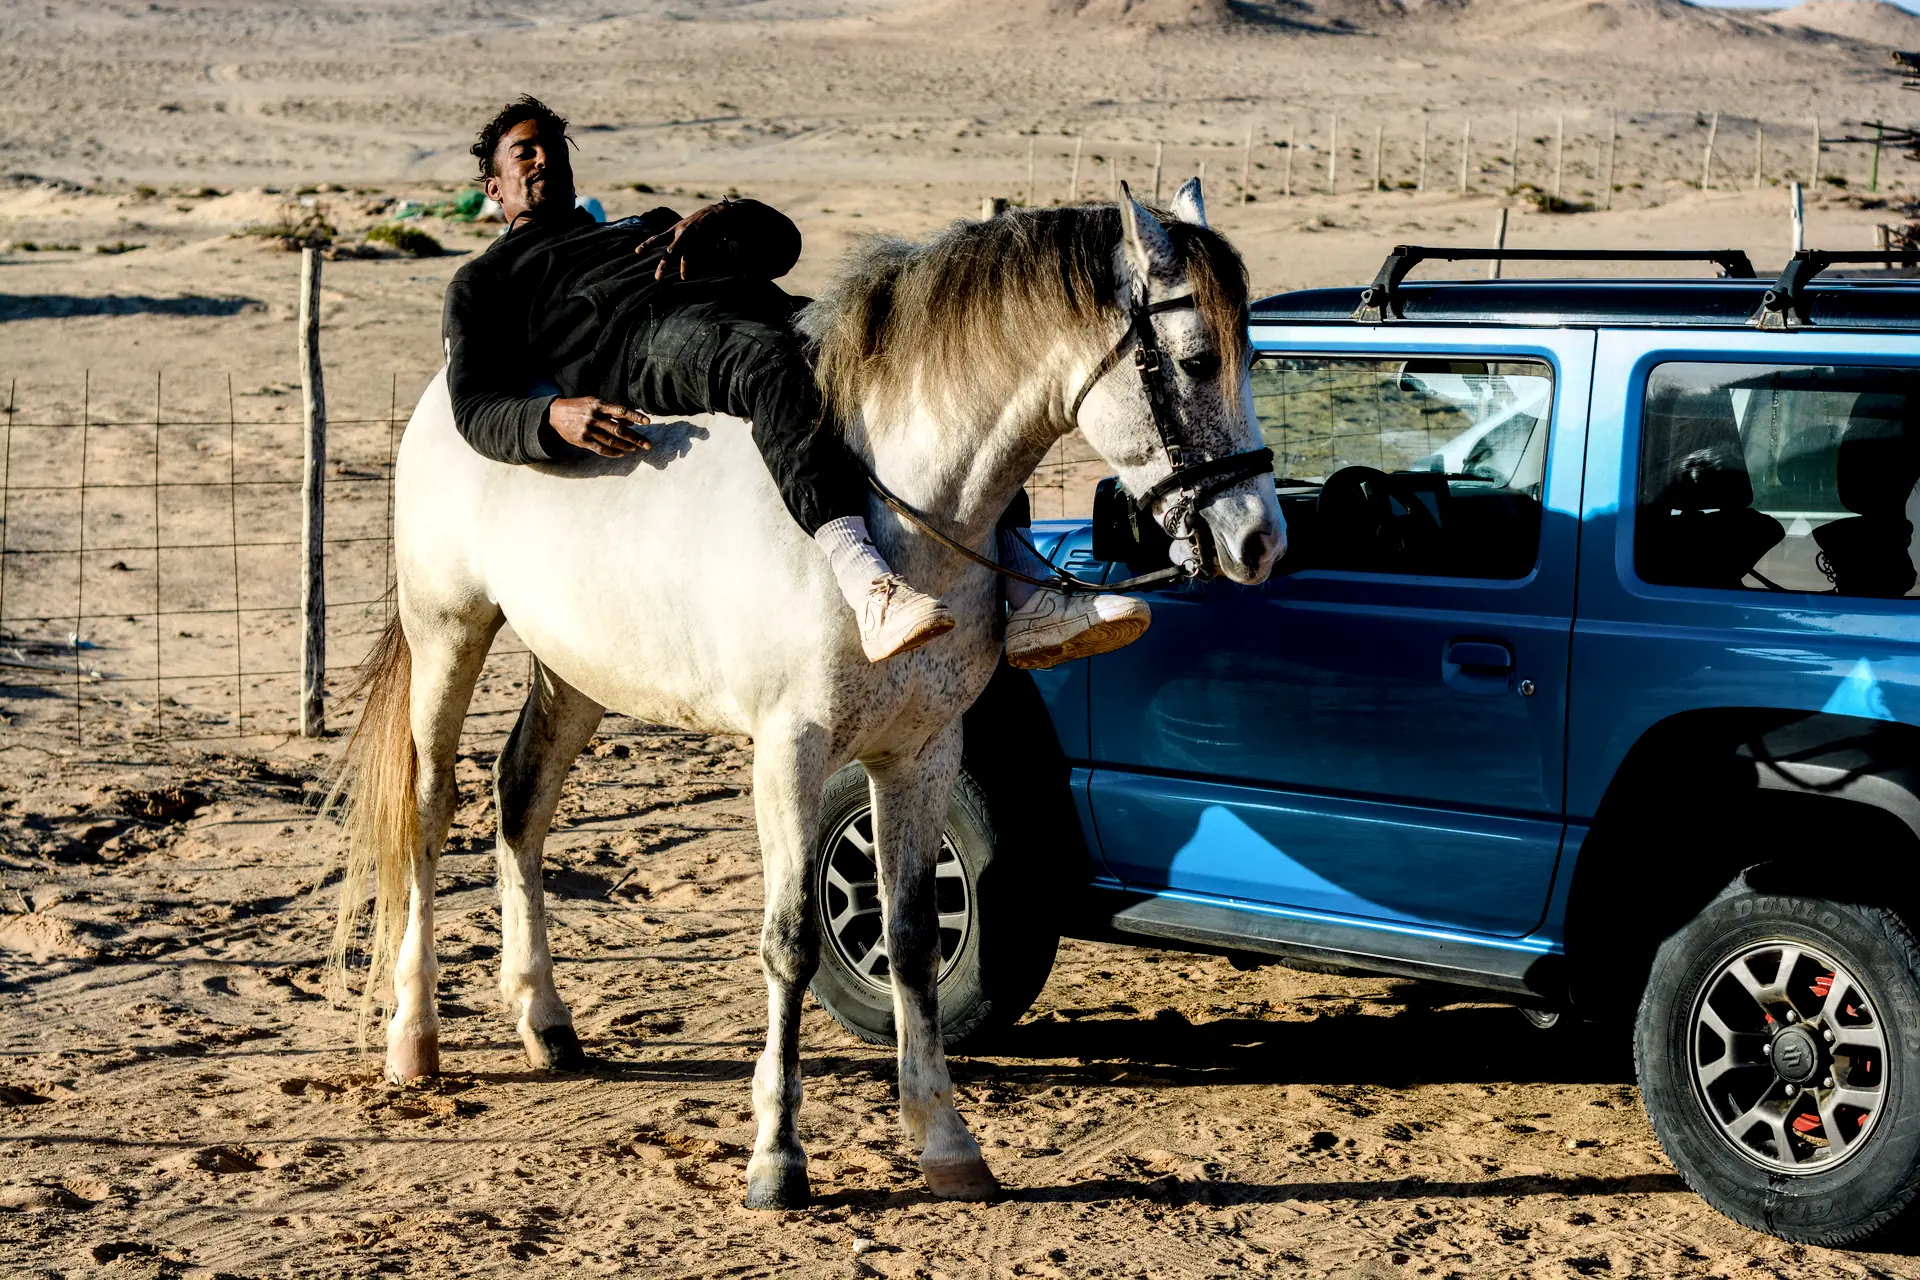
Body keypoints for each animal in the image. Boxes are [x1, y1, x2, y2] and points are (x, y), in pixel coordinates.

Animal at [325, 180, 1284, 1209]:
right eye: (1196, 359)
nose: (1261, 541)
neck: (904, 515)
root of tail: (440, 398)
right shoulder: (790, 748)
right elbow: (789, 941)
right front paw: (777, 1158)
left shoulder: (922, 750)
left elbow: (911, 934)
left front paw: (945, 1139)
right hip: (448, 632)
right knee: (430, 810)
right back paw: (414, 1035)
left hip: (575, 665)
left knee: (523, 797)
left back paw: (544, 1017)